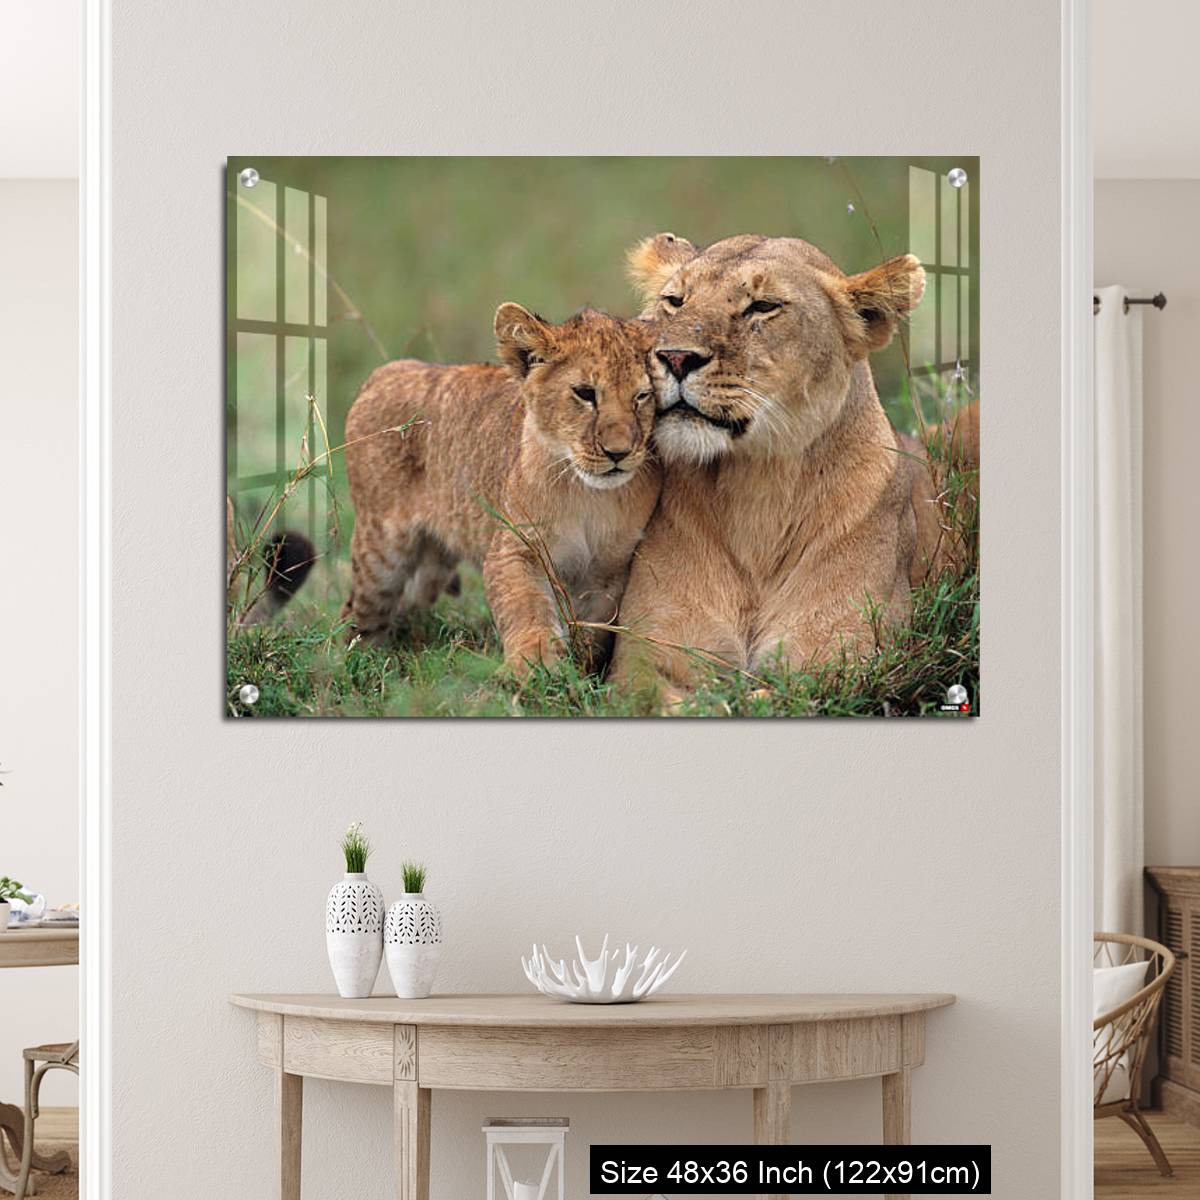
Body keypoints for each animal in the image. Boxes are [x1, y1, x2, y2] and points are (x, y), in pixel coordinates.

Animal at [342, 306, 661, 675]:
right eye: (585, 393)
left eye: (642, 396)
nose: (618, 453)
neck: (589, 494)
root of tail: (386, 371)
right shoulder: (516, 547)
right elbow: (526, 607)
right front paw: (535, 664)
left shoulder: (609, 572)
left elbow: (592, 631)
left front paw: (580, 671)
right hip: (381, 552)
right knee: (358, 612)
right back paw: (354, 661)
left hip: (433, 564)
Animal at [610, 232, 977, 693]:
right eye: (675, 301)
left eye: (763, 306)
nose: (676, 357)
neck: (756, 489)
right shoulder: (643, 661)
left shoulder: (843, 658)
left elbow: (759, 698)